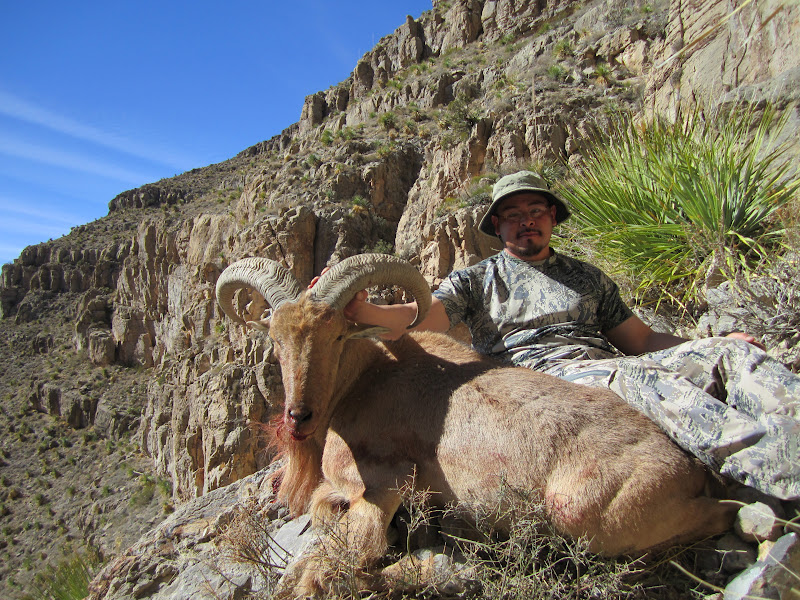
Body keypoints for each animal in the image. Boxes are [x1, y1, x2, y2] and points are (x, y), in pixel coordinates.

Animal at [216, 253, 735, 597]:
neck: (364, 380)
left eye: (339, 334)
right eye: (276, 338)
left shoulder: (381, 486)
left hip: (584, 511)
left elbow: (336, 558)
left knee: (715, 519)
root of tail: (690, 470)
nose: (298, 417)